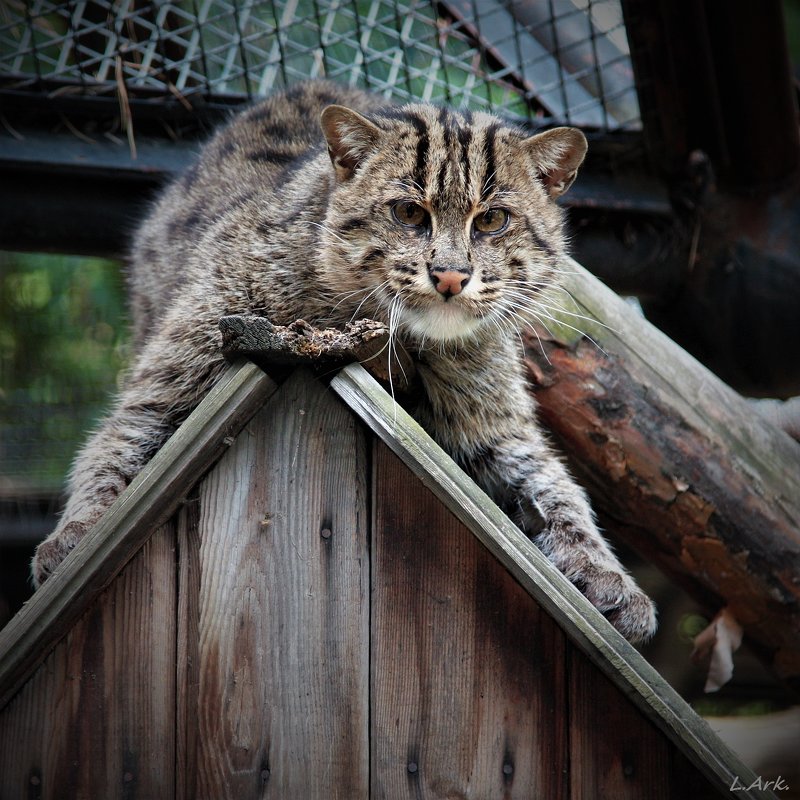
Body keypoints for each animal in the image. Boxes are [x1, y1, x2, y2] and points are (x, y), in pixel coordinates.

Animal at [31, 81, 656, 644]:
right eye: (408, 213)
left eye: (491, 221)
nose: (451, 275)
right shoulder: (174, 373)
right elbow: (118, 441)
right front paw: (78, 538)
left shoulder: (495, 422)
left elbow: (553, 483)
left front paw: (609, 576)